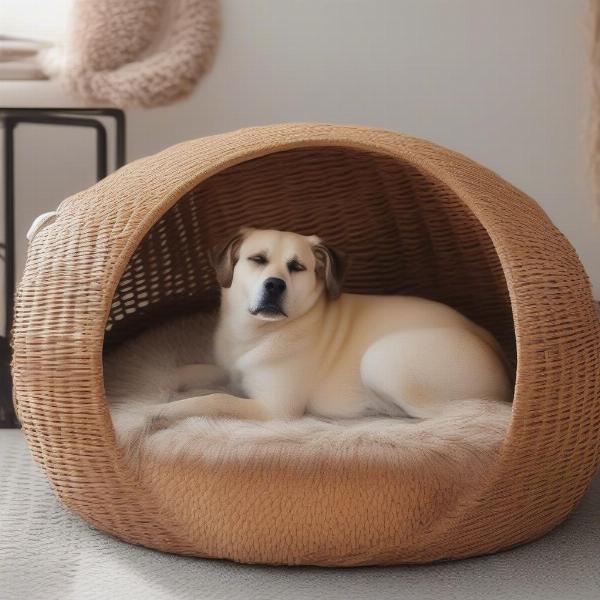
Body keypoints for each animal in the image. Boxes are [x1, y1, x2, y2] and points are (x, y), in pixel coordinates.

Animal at [156, 229, 510, 422]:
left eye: (297, 267)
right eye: (257, 259)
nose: (274, 285)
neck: (257, 334)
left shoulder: (274, 408)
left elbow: (215, 399)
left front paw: (167, 411)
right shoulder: (230, 371)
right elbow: (193, 370)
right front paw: (164, 381)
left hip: (380, 358)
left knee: (442, 415)